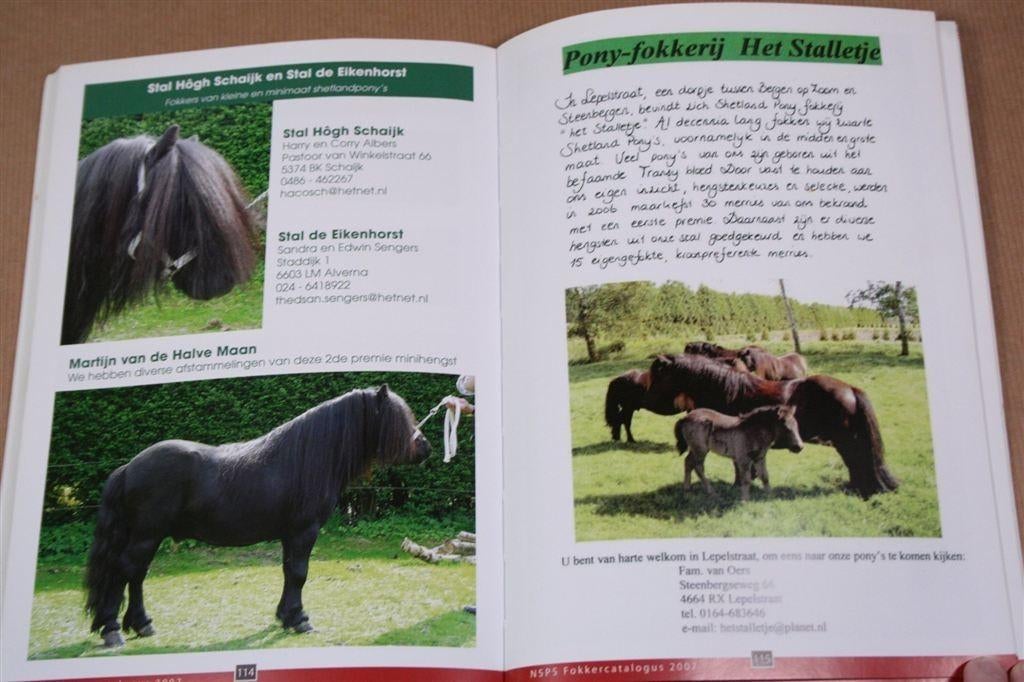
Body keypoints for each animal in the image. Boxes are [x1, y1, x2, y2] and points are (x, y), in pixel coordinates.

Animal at [84, 385, 430, 647]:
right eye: (398, 417)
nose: (425, 446)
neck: (306, 457)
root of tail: (129, 467)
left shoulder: (291, 535)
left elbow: (289, 572)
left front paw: (286, 617)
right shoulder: (304, 531)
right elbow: (299, 574)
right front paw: (300, 620)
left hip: (147, 537)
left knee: (136, 574)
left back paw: (141, 624)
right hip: (147, 535)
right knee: (125, 571)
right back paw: (113, 630)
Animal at [675, 405, 803, 501]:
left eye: (796, 425)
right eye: (786, 427)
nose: (800, 447)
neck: (754, 431)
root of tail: (685, 418)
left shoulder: (760, 457)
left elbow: (765, 476)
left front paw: (770, 496)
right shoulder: (743, 459)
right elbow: (746, 479)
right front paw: (745, 500)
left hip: (695, 449)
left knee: (688, 463)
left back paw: (687, 491)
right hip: (700, 450)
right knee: (698, 467)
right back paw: (711, 493)